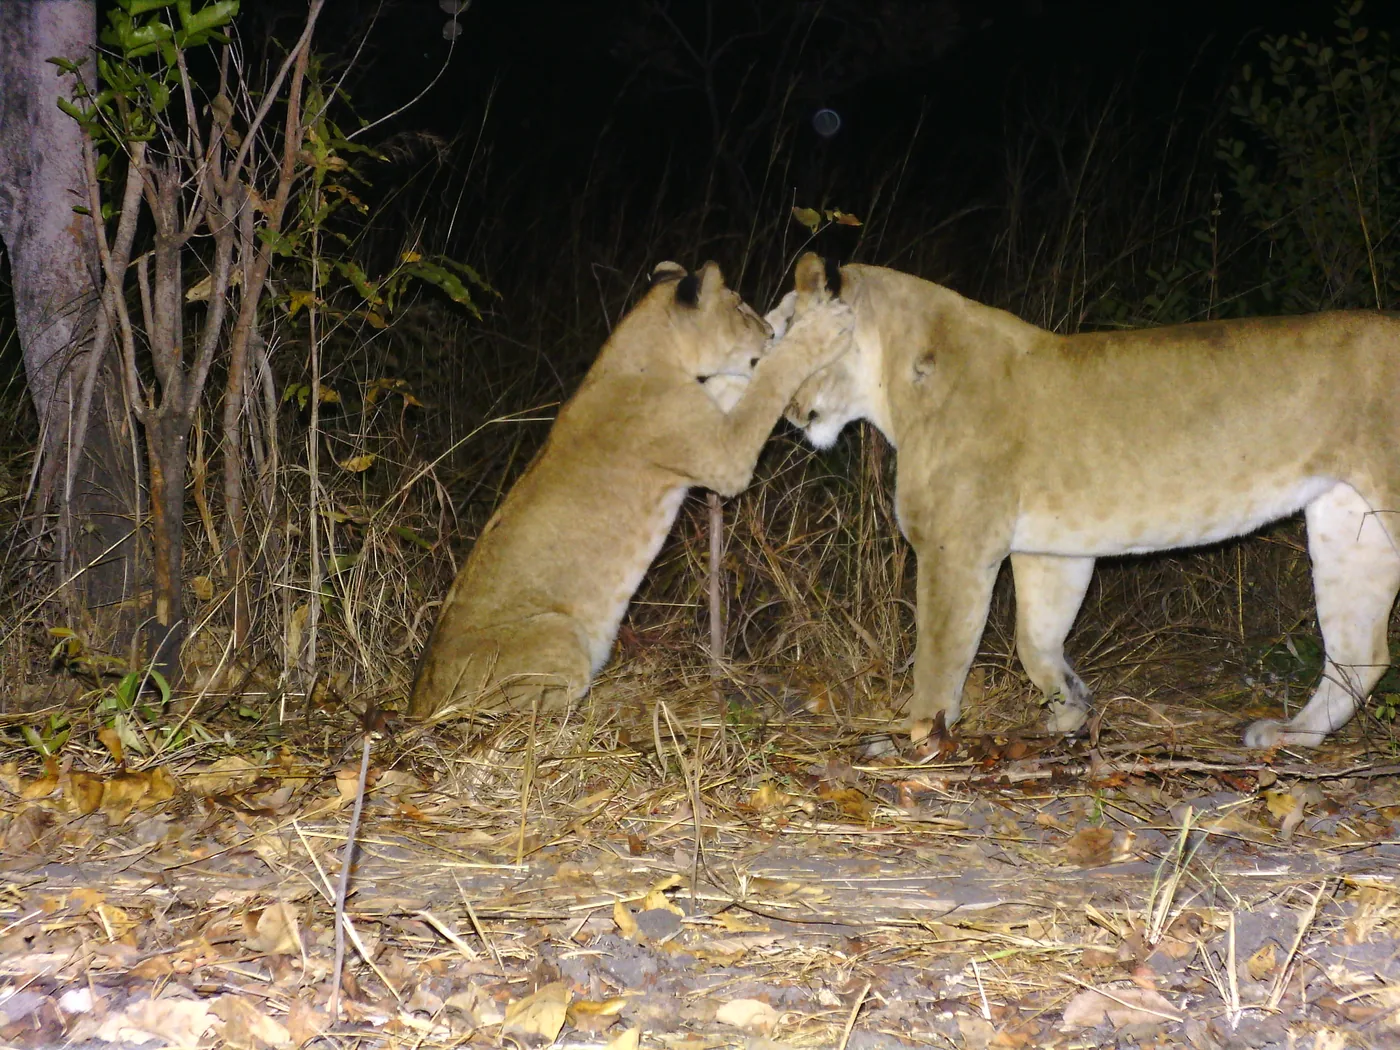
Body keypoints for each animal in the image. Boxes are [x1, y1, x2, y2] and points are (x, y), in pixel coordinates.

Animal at [410, 259, 854, 721]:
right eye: (738, 307)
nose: (765, 332)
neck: (649, 351)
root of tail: (418, 706)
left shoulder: (713, 420)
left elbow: (740, 381)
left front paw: (788, 312)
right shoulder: (726, 456)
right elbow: (768, 377)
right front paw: (819, 331)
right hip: (560, 633)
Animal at [777, 252, 1400, 748]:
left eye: (781, 336)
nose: (785, 412)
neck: (897, 378)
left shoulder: (954, 547)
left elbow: (940, 656)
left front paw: (913, 741)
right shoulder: (1052, 552)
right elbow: (1035, 642)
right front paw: (1072, 709)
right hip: (1347, 523)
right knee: (1360, 651)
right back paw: (1293, 734)